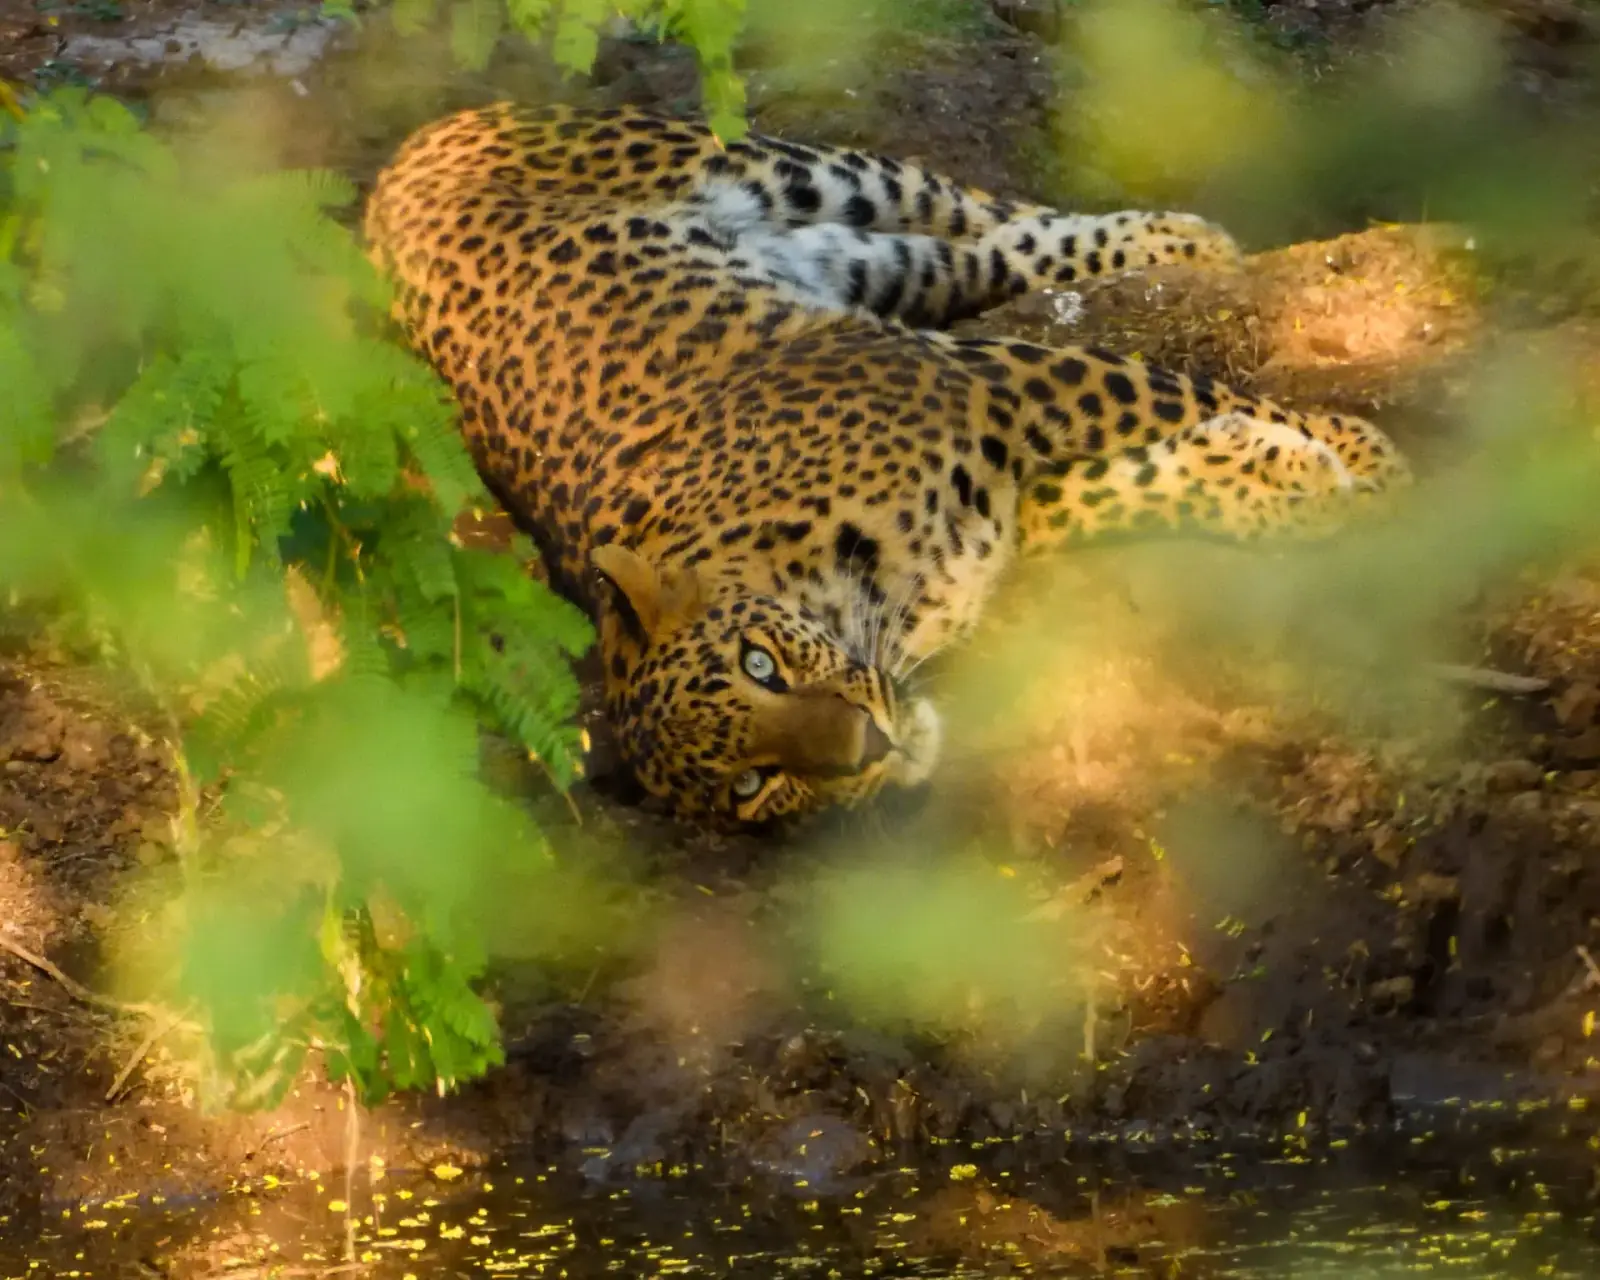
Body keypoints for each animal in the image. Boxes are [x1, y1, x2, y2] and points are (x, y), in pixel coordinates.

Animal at [363, 102, 1411, 831]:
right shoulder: (1004, 486)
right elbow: (1122, 488)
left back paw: (1182, 242)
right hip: (866, 257)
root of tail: (391, 171)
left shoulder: (991, 382)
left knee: (988, 208)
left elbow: (1163, 392)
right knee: (996, 250)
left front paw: (1358, 457)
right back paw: (1173, 248)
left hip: (795, 169)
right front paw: (1283, 478)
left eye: (761, 663)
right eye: (753, 783)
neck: (871, 597)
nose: (867, 744)